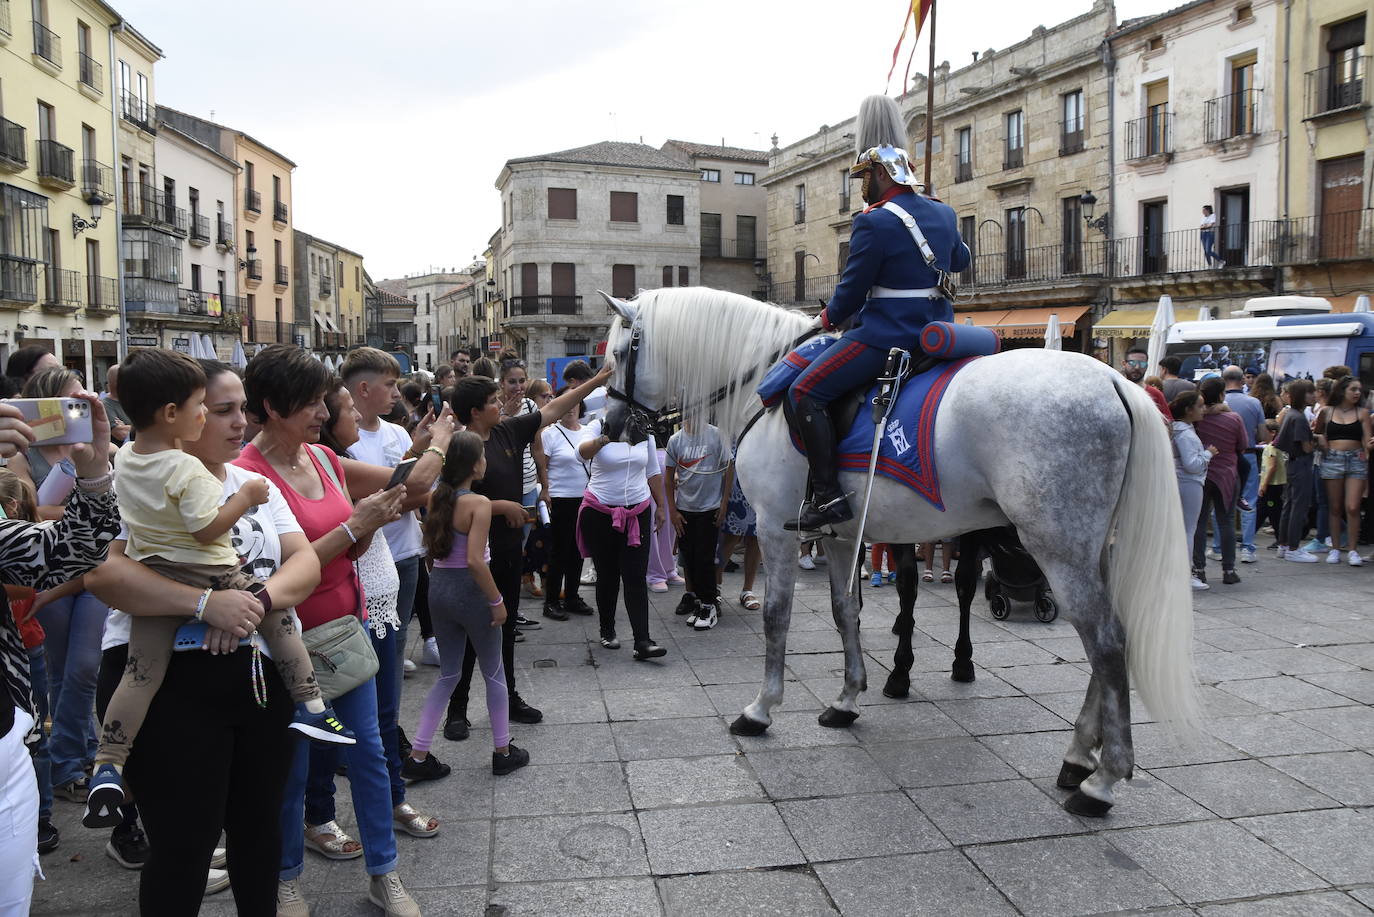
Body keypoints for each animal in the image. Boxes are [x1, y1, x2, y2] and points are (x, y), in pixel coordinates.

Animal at [596, 288, 1198, 819]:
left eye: (620, 354)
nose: (612, 426)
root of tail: (1115, 378)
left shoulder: (774, 528)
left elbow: (776, 616)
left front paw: (762, 708)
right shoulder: (839, 535)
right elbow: (846, 612)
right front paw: (847, 699)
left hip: (1059, 548)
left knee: (1107, 642)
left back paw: (1102, 781)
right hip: (1091, 549)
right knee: (1109, 640)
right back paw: (1078, 758)